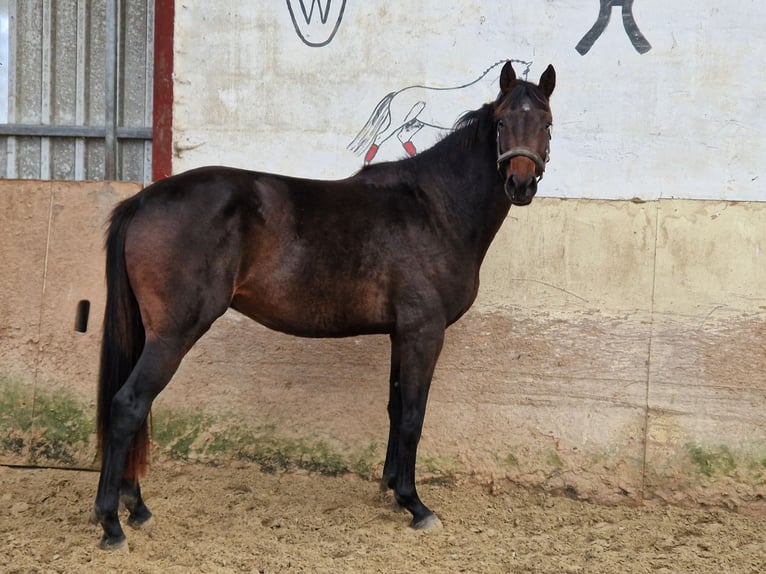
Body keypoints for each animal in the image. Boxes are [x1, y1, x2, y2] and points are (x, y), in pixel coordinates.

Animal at [93, 60, 556, 552]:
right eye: (502, 123)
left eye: (546, 123)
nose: (521, 183)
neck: (433, 208)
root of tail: (142, 199)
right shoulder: (424, 332)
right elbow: (413, 416)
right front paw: (415, 505)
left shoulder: (401, 334)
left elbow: (395, 409)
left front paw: (391, 488)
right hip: (173, 334)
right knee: (128, 405)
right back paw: (111, 523)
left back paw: (136, 508)